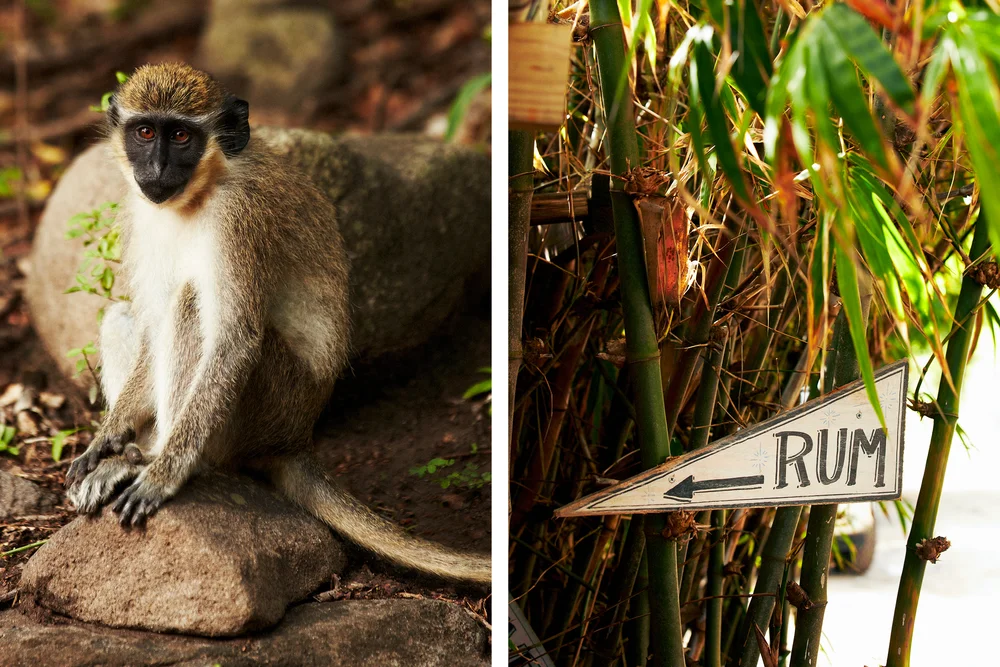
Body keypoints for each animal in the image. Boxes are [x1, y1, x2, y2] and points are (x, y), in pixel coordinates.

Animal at [63, 63, 491, 585]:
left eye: (181, 136)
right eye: (145, 132)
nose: (157, 169)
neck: (200, 192)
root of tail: (295, 439)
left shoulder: (239, 218)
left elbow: (235, 340)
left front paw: (163, 472)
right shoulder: (141, 212)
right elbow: (149, 324)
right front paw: (105, 440)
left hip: (265, 407)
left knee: (190, 305)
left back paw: (154, 459)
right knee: (126, 314)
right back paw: (129, 452)